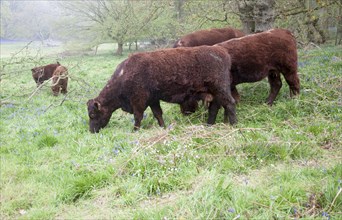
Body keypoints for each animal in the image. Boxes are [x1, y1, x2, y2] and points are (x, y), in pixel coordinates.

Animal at [87, 45, 236, 133]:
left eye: (93, 114)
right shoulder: (153, 100)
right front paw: (163, 127)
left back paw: (234, 125)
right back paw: (209, 125)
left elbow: (138, 116)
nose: (91, 130)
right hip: (215, 93)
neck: (124, 75)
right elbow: (158, 114)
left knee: (230, 104)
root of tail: (222, 53)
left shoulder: (138, 101)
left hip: (220, 89)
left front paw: (135, 131)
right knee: (214, 108)